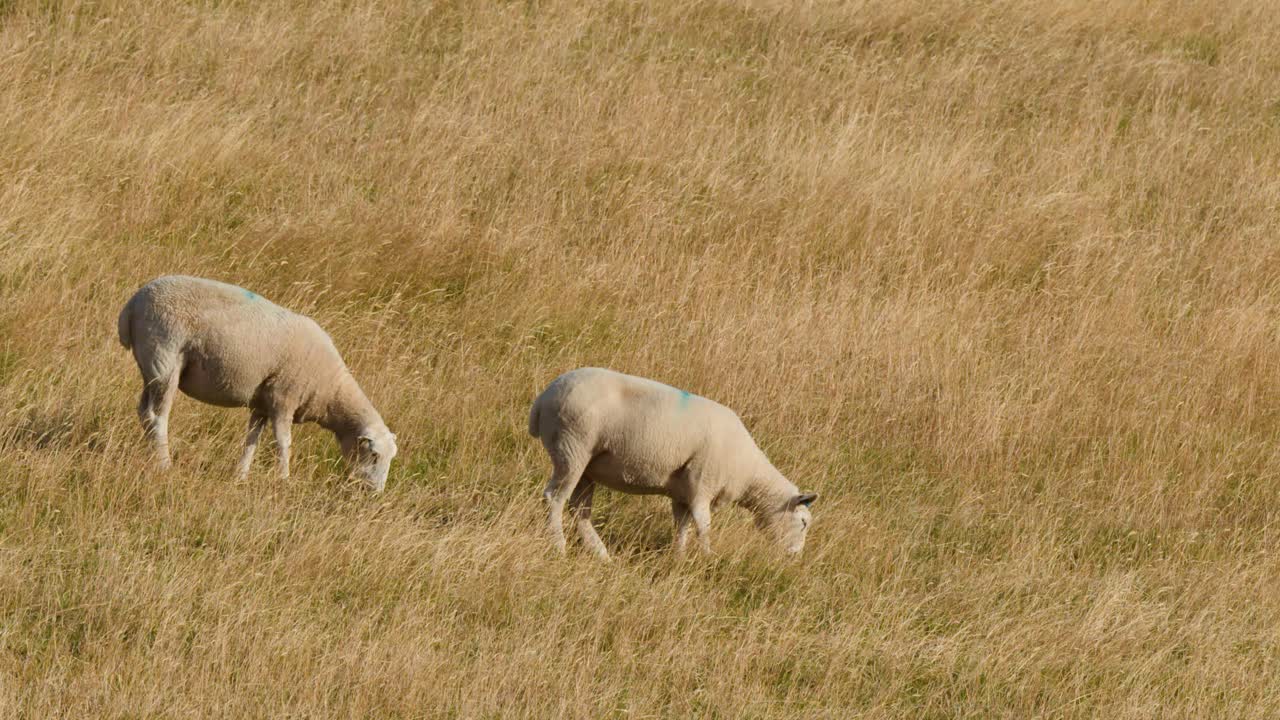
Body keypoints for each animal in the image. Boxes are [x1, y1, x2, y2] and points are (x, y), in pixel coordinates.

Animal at [117, 275, 397, 491]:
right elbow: (283, 444)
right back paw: (164, 463)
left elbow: (251, 440)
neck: (331, 391)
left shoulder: (262, 403)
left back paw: (150, 454)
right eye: (374, 455)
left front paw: (241, 476)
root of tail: (132, 306)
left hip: (150, 366)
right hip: (166, 359)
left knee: (144, 413)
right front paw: (284, 480)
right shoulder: (283, 398)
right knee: (158, 417)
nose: (375, 493)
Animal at [528, 367, 817, 559]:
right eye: (803, 522)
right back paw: (559, 546)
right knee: (554, 498)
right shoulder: (702, 484)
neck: (748, 473)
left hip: (587, 465)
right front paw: (707, 558)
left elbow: (682, 527)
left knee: (580, 510)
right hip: (572, 449)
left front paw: (678, 558)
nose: (794, 557)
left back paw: (601, 554)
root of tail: (543, 398)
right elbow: (703, 526)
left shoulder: (682, 493)